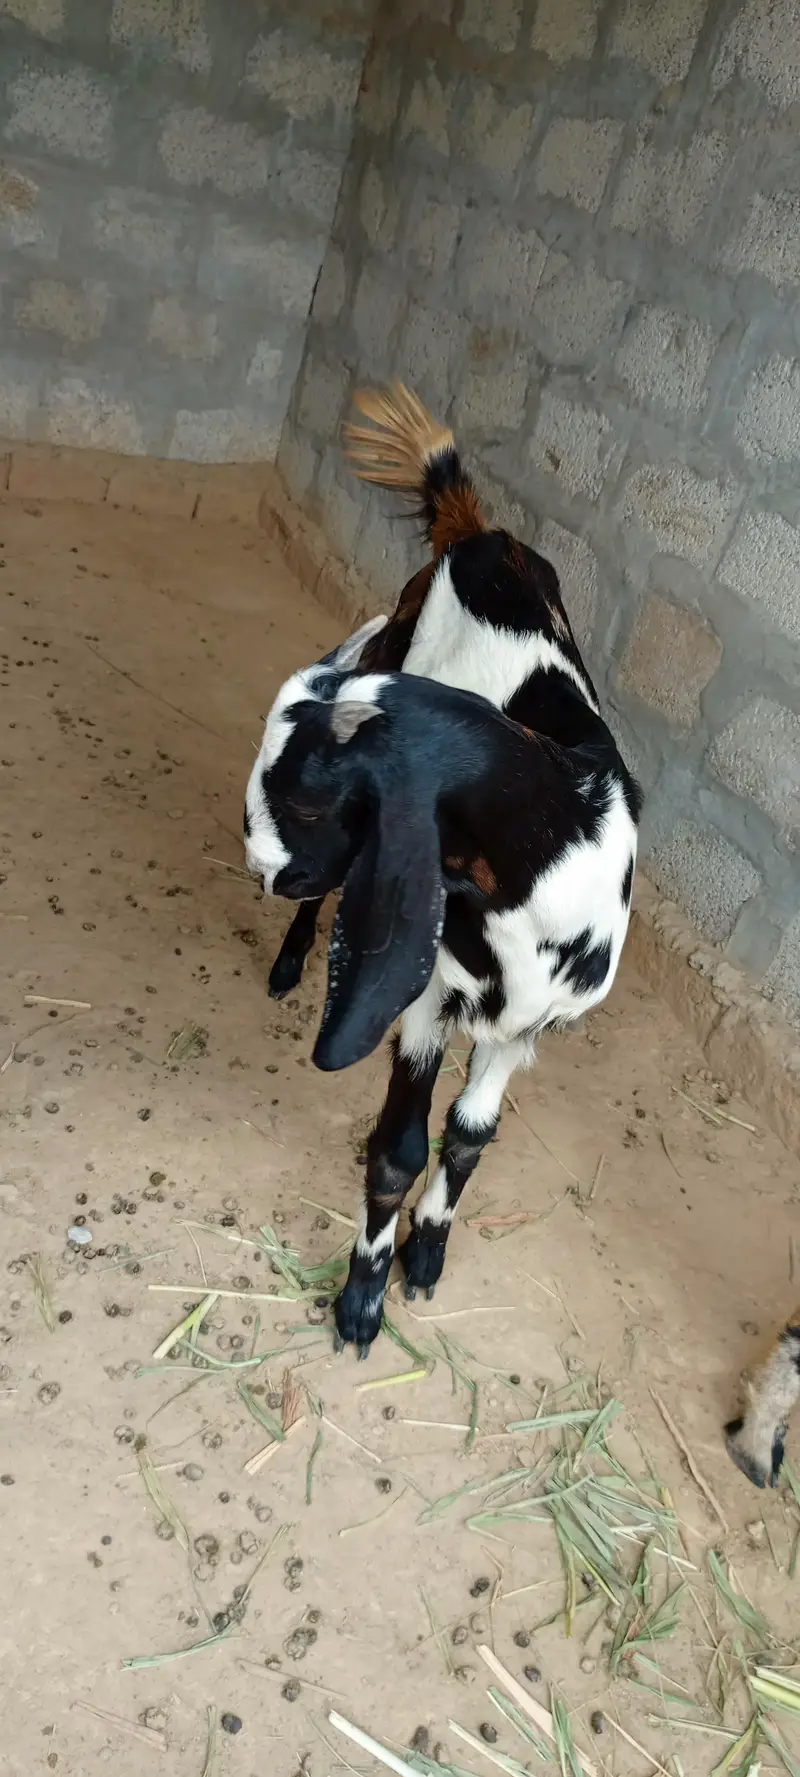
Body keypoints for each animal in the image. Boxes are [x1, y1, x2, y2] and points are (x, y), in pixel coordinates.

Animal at [244, 384, 642, 1355]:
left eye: (307, 801)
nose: (260, 862)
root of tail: (478, 530)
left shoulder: (528, 1026)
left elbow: (468, 1135)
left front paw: (426, 1254)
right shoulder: (430, 995)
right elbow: (397, 1149)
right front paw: (361, 1301)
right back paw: (289, 963)